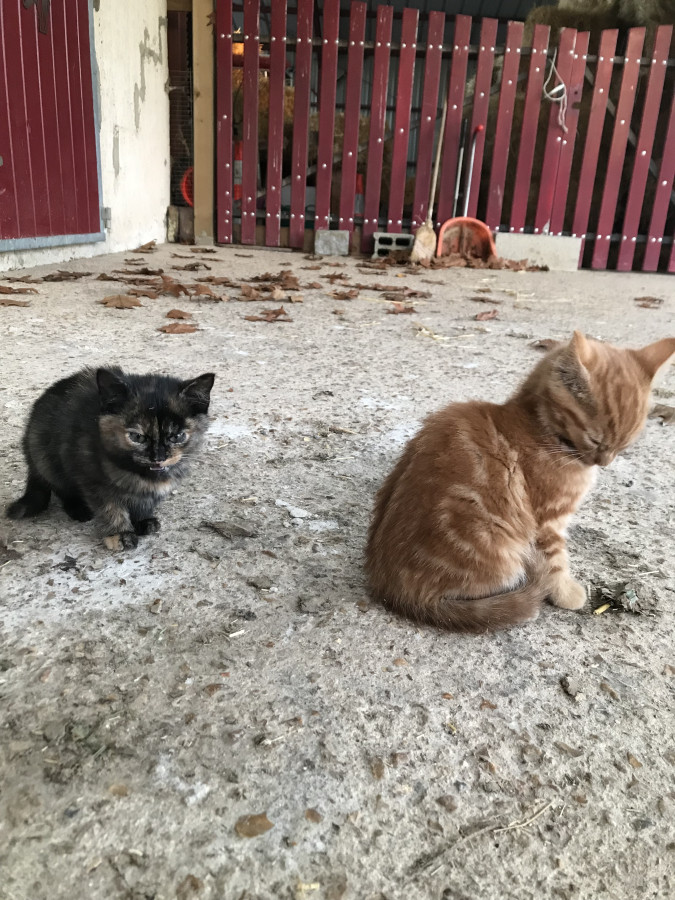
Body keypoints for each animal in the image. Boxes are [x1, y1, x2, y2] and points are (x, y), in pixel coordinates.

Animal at [6, 367, 215, 551]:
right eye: (137, 437)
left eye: (177, 436)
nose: (158, 457)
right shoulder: (93, 479)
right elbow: (110, 508)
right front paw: (119, 534)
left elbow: (144, 501)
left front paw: (141, 520)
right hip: (44, 457)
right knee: (60, 486)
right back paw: (78, 508)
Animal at [366, 332, 675, 633]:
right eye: (595, 440)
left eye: (625, 445)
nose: (604, 462)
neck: (542, 428)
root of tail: (393, 589)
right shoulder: (547, 520)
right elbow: (555, 561)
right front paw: (567, 593)